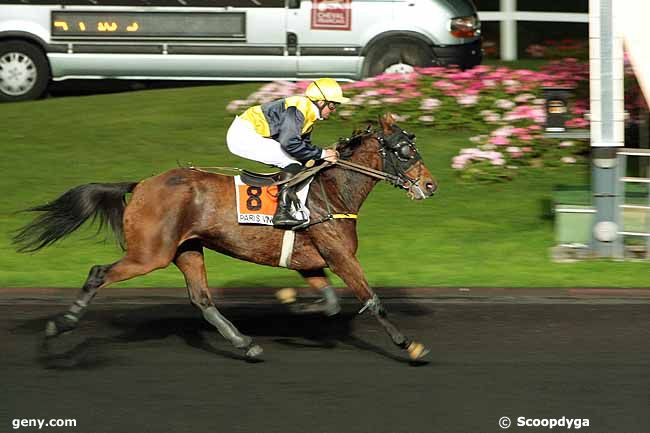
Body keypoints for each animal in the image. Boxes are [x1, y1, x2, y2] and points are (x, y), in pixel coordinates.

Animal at [15, 114, 438, 362]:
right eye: (404, 150)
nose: (431, 186)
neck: (332, 192)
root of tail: (141, 184)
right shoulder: (340, 256)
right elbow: (373, 301)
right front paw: (410, 345)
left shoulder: (311, 263)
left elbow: (330, 304)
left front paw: (291, 304)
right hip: (150, 253)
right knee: (98, 273)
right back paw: (60, 325)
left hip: (186, 249)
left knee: (202, 299)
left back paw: (246, 343)